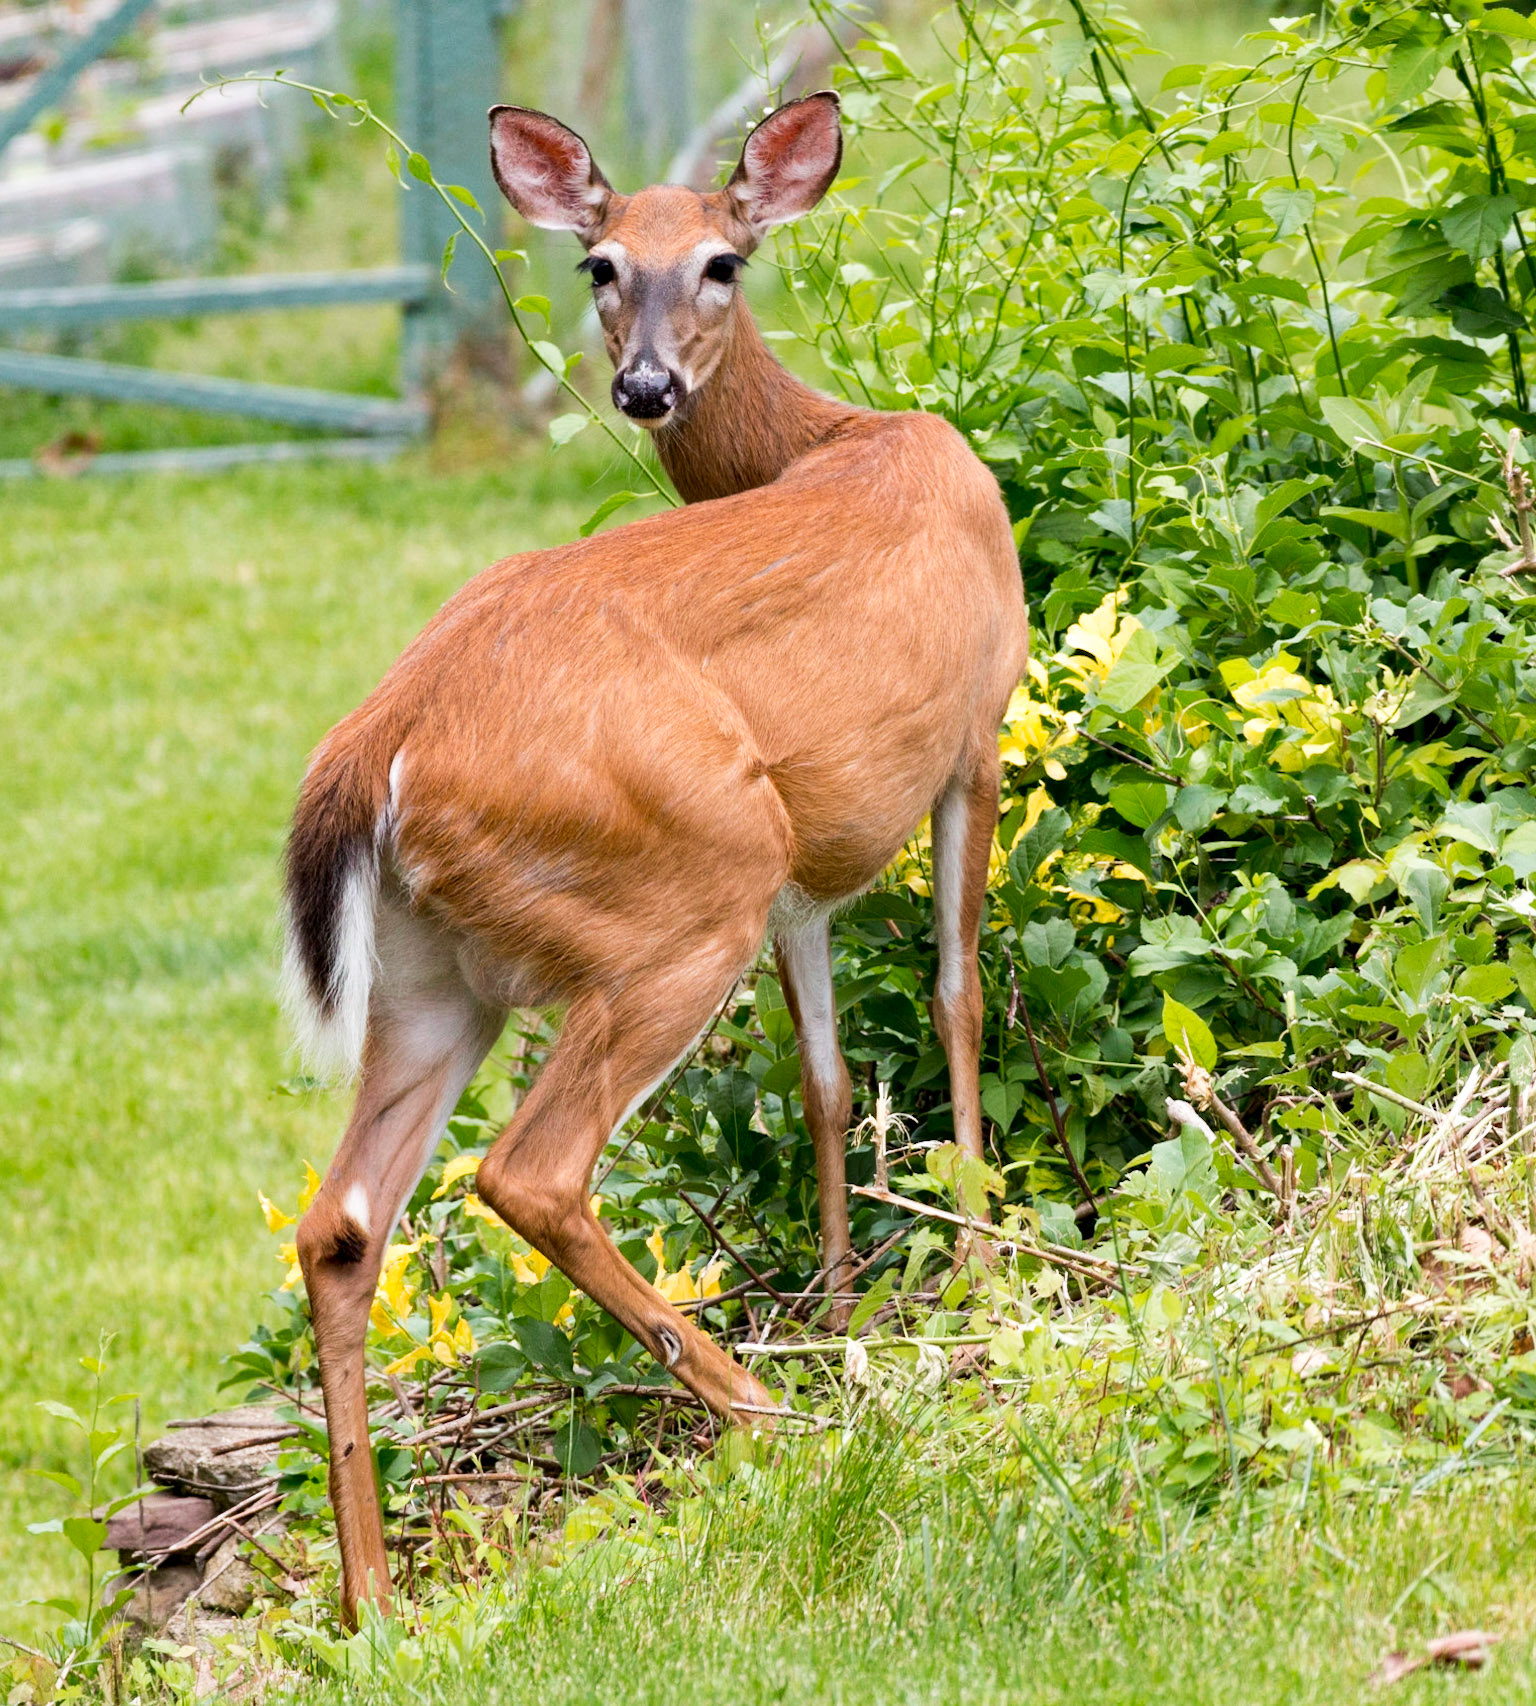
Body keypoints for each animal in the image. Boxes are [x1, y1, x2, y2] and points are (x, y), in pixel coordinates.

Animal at [283, 91, 1028, 1621]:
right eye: (600, 265)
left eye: (722, 262)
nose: (640, 388)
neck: (834, 434)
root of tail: (375, 740)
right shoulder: (975, 730)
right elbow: (955, 998)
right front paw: (980, 1270)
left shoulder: (809, 877)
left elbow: (822, 1080)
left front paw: (844, 1306)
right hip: (679, 896)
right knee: (528, 1171)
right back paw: (769, 1416)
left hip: (444, 976)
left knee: (342, 1220)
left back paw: (373, 1596)